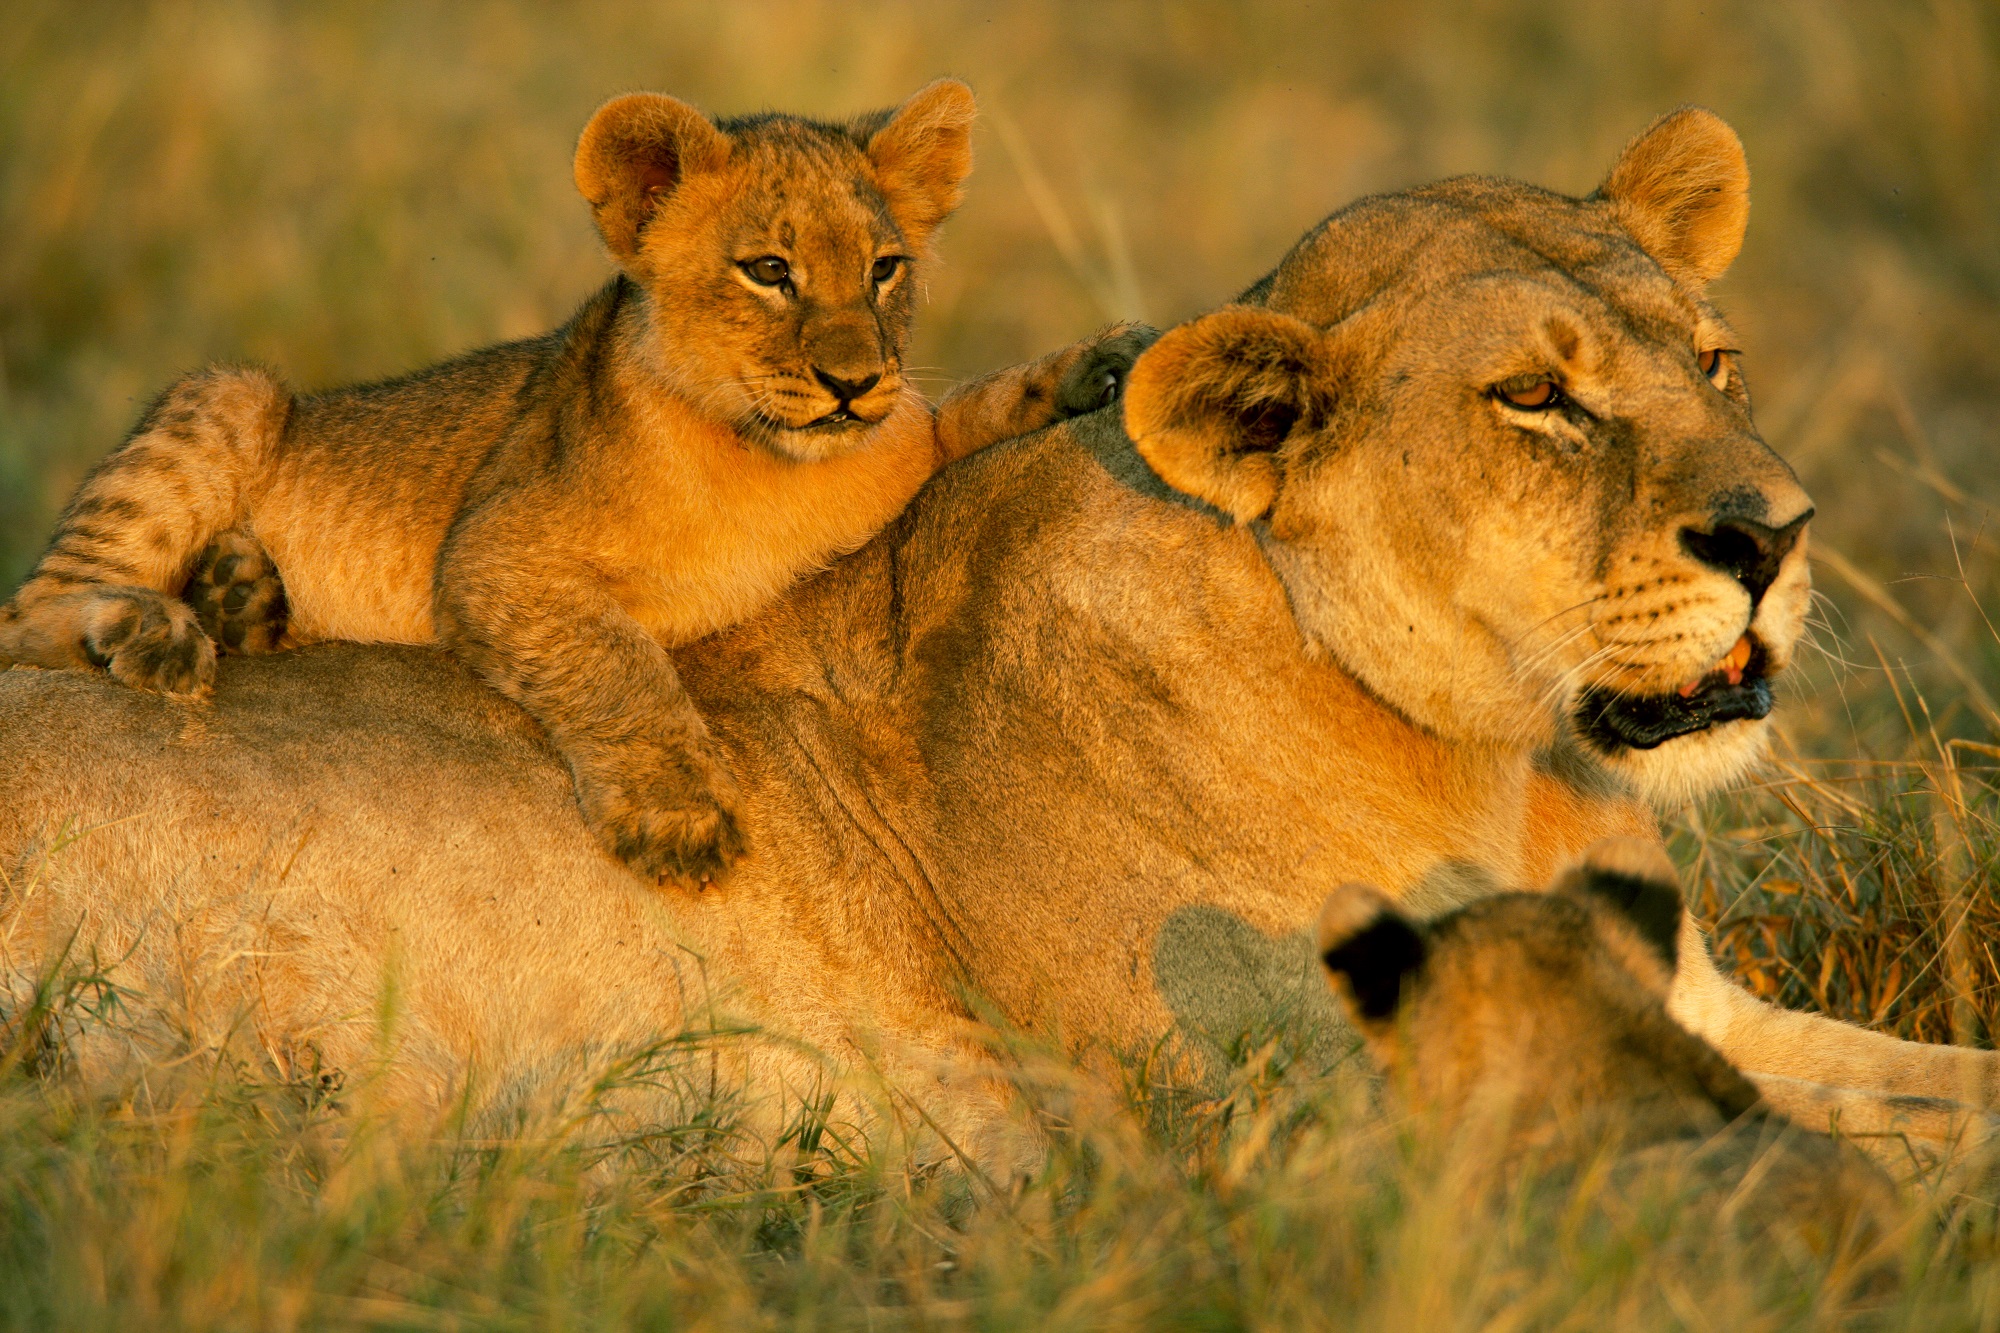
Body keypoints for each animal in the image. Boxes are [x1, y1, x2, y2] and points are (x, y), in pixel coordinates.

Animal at [0, 79, 1143, 885]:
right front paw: (680, 815)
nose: (854, 381)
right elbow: (615, 661)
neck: (768, 466)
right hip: (230, 395)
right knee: (27, 611)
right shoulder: (494, 550)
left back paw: (239, 597)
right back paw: (153, 627)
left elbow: (959, 419)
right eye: (769, 271)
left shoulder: (901, 450)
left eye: (884, 269)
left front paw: (1090, 371)